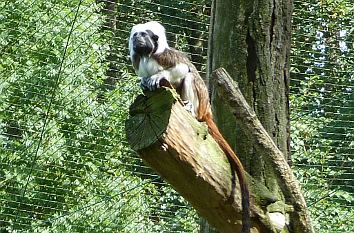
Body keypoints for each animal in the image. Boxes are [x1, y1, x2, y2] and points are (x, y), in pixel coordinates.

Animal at [129, 21, 249, 233]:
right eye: (137, 35)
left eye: (145, 35)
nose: (138, 39)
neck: (146, 56)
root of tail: (207, 110)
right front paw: (144, 82)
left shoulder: (165, 57)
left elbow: (182, 68)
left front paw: (157, 77)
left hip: (200, 101)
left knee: (190, 77)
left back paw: (189, 108)